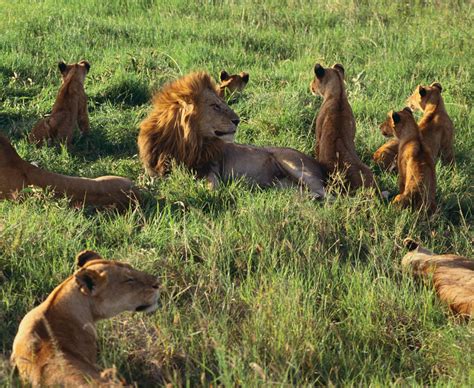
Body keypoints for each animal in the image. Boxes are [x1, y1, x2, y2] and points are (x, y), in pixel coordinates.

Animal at [139, 71, 328, 199]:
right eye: (215, 106)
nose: (237, 120)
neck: (188, 143)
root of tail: (318, 163)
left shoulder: (212, 169)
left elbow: (213, 186)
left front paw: (210, 193)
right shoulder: (155, 171)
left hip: (295, 165)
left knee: (328, 194)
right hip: (282, 185)